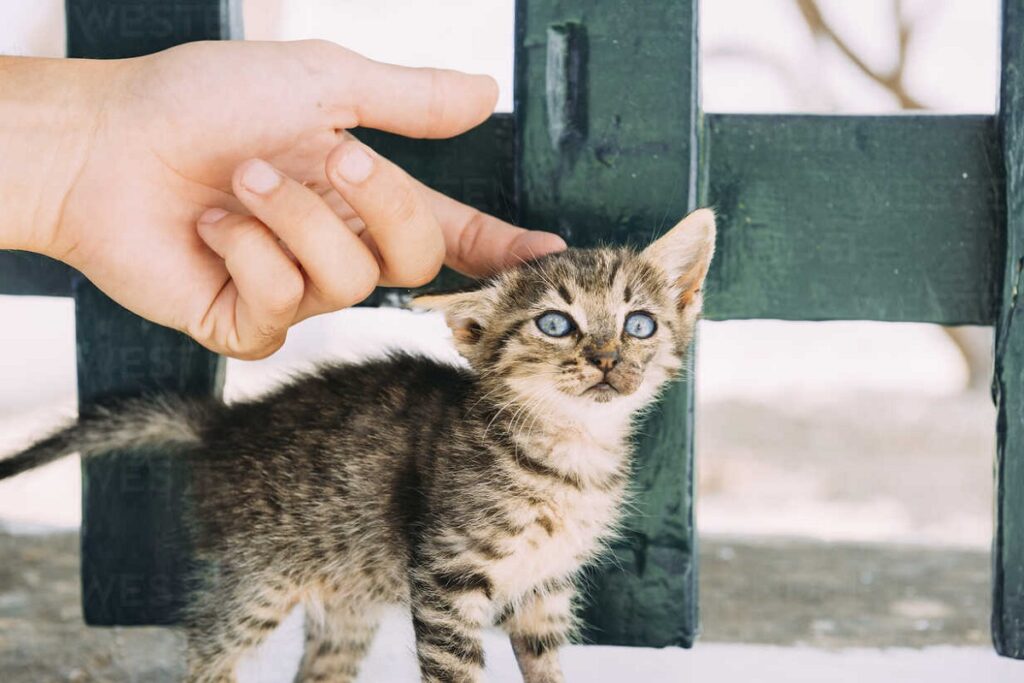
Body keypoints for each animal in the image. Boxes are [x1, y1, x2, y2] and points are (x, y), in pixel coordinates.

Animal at [0, 209, 716, 683]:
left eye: (640, 325)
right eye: (555, 324)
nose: (607, 359)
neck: (569, 454)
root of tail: (228, 421)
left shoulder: (545, 589)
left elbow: (550, 670)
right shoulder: (446, 578)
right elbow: (457, 673)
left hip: (347, 594)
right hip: (255, 578)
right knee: (205, 650)